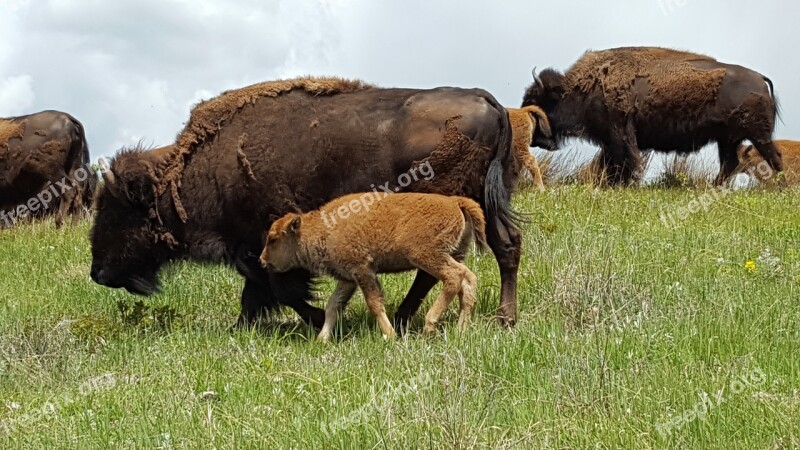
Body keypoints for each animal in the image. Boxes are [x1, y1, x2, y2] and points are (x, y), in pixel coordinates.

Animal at [260, 191, 488, 342]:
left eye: (273, 239)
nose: (262, 260)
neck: (323, 228)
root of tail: (454, 201)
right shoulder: (348, 278)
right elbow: (333, 305)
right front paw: (321, 340)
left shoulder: (363, 271)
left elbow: (374, 303)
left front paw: (390, 335)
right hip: (453, 254)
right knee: (468, 279)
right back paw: (460, 330)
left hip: (427, 256)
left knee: (453, 277)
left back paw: (429, 326)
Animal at [520, 47, 784, 185]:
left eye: (537, 101)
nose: (534, 139)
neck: (583, 88)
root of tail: (760, 79)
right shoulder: (609, 140)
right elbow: (610, 163)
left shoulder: (619, 135)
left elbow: (625, 161)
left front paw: (623, 184)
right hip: (727, 139)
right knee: (730, 164)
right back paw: (712, 187)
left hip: (756, 135)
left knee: (773, 157)